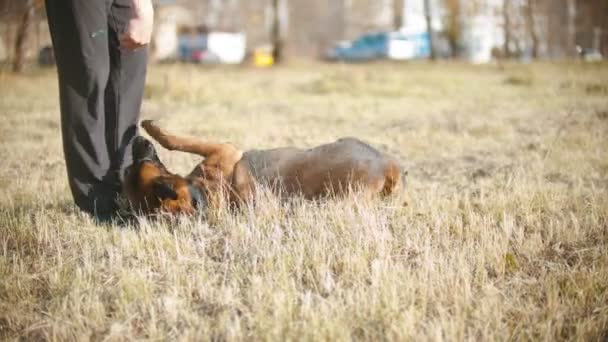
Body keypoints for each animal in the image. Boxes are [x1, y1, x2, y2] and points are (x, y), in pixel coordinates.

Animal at [123, 120, 404, 215]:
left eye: (145, 161)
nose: (136, 140)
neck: (205, 191)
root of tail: (387, 166)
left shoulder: (221, 148)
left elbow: (177, 140)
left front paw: (151, 126)